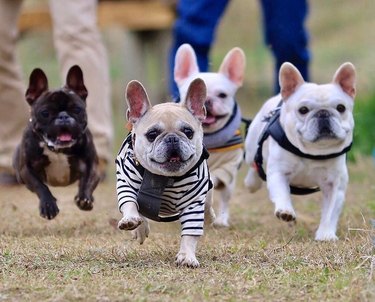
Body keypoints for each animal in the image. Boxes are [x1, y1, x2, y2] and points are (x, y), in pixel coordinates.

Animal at [116, 78, 214, 268]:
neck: (163, 179)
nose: (172, 138)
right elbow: (130, 203)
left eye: (188, 132)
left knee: (207, 208)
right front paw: (132, 221)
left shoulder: (194, 203)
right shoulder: (126, 182)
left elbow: (190, 233)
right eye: (152, 134)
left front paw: (187, 256)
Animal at [245, 61, 356, 241]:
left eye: (341, 108)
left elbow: (330, 211)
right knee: (254, 163)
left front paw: (326, 234)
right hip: (251, 146)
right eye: (303, 110)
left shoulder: (335, 185)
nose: (323, 114)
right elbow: (281, 193)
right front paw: (285, 211)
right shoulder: (279, 173)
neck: (312, 151)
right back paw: (251, 183)